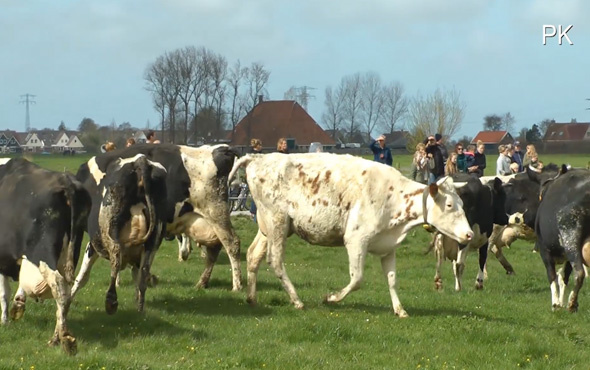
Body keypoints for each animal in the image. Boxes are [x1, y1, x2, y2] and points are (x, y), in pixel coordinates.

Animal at [0, 159, 90, 356]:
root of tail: (67, 182)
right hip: (69, 254)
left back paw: (63, 339)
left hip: (42, 253)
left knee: (59, 287)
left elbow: (3, 292)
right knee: (66, 291)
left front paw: (4, 320)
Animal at [72, 143, 243, 294]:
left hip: (216, 212)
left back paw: (237, 285)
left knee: (232, 243)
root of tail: (221, 149)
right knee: (215, 249)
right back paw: (202, 282)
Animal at [72, 155, 169, 314]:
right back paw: (140, 309)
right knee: (143, 272)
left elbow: (82, 276)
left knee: (116, 256)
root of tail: (140, 160)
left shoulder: (93, 243)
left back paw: (111, 301)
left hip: (109, 229)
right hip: (153, 239)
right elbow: (136, 275)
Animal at [229, 153, 474, 318]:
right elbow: (357, 279)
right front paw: (331, 298)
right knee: (275, 260)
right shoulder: (356, 240)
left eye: (462, 204)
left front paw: (400, 309)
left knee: (253, 256)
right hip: (277, 222)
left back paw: (252, 298)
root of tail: (258, 157)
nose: (469, 234)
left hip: (268, 227)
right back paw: (297, 300)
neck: (393, 196)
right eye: (449, 205)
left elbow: (392, 280)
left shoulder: (388, 247)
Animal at [536, 166, 588, 310]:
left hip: (571, 238)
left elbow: (552, 275)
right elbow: (564, 277)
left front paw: (556, 303)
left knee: (579, 273)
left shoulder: (544, 249)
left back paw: (572, 303)